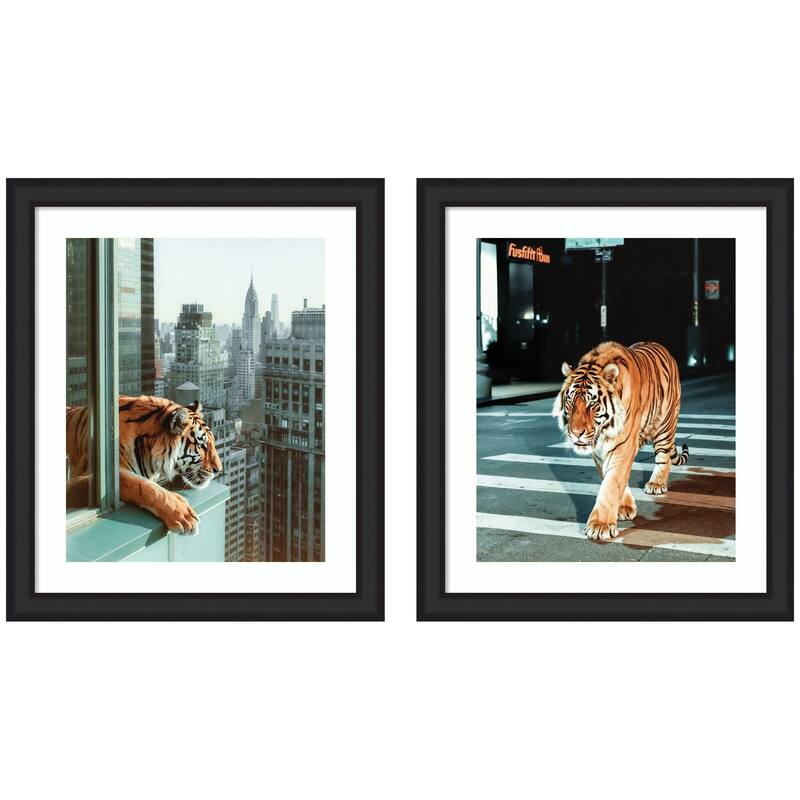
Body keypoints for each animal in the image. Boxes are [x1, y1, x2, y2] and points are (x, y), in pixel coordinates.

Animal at [552, 341, 689, 541]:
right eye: (570, 402)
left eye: (592, 404)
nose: (576, 433)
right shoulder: (599, 452)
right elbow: (613, 478)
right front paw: (624, 508)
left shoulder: (623, 446)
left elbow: (611, 483)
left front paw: (600, 525)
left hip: (665, 424)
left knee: (664, 456)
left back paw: (656, 484)